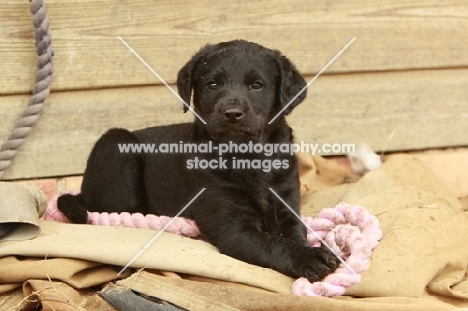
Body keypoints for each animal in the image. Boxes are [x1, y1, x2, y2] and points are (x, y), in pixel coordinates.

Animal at [57, 39, 340, 282]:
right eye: (212, 85)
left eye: (257, 85)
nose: (232, 113)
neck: (247, 158)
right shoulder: (231, 228)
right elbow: (274, 244)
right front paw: (311, 258)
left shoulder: (286, 204)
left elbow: (293, 235)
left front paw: (310, 251)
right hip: (116, 142)